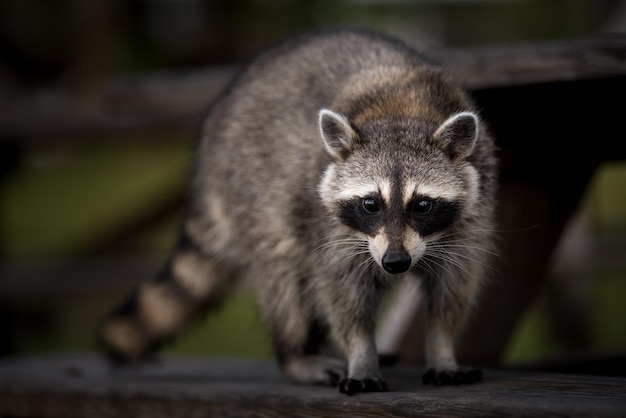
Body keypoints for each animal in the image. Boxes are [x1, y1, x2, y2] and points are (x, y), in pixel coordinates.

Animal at [97, 28, 498, 396]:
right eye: (370, 203)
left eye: (422, 205)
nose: (395, 262)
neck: (403, 110)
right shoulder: (328, 223)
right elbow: (342, 289)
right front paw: (360, 354)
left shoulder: (473, 211)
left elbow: (453, 289)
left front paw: (443, 350)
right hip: (252, 190)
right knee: (287, 279)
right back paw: (297, 355)